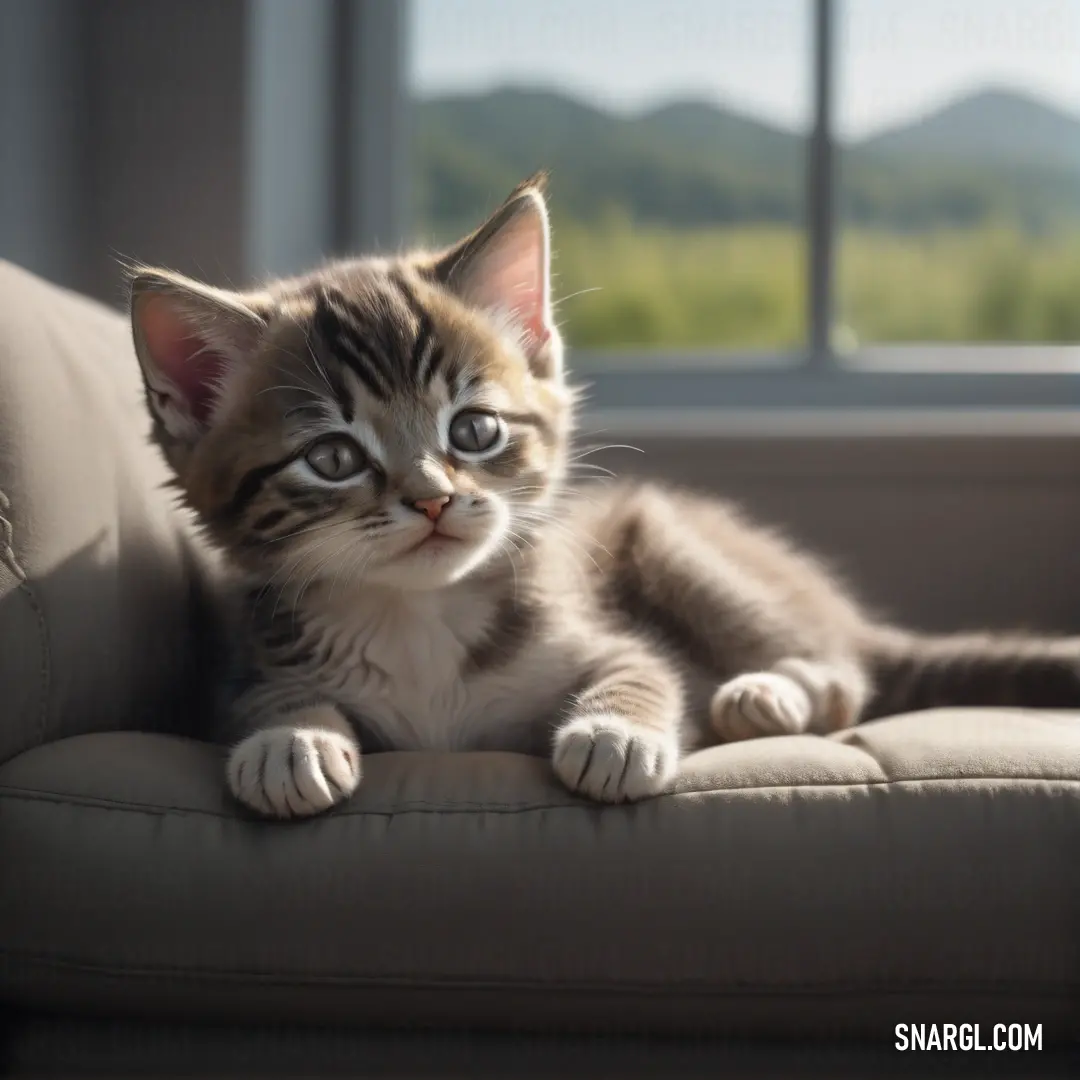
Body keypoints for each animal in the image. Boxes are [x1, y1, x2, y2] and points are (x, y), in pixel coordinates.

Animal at [128, 174, 1080, 816]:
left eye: (473, 431)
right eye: (332, 457)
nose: (432, 498)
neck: (419, 616)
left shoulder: (597, 618)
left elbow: (644, 668)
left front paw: (616, 732)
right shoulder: (243, 660)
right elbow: (257, 696)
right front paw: (291, 738)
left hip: (668, 539)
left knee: (847, 676)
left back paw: (769, 693)